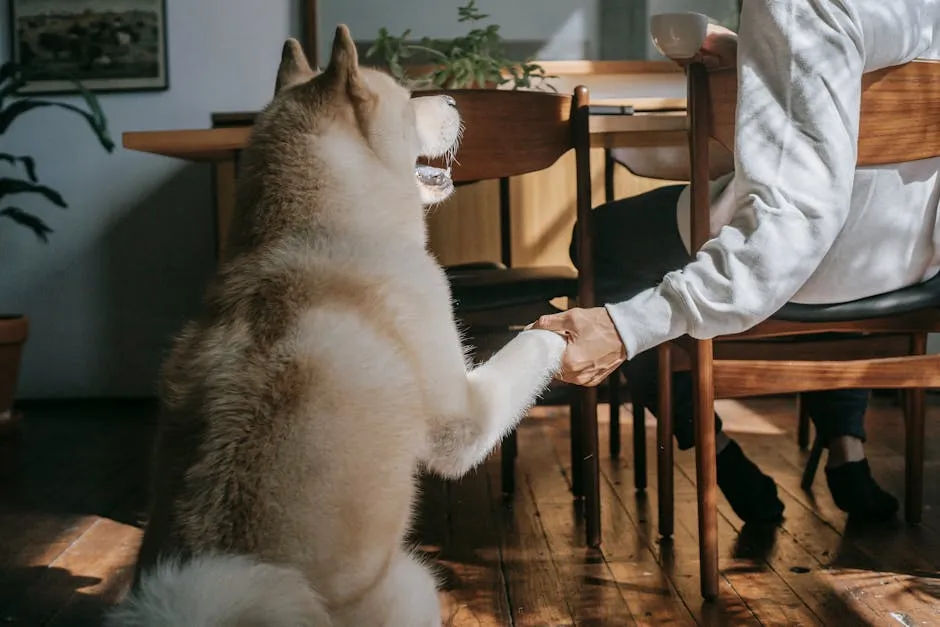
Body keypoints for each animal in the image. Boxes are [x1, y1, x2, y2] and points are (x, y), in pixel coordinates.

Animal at [107, 24, 568, 627]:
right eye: (407, 100)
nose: (453, 99)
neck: (310, 231)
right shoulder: (462, 420)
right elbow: (529, 344)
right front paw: (574, 326)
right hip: (417, 580)